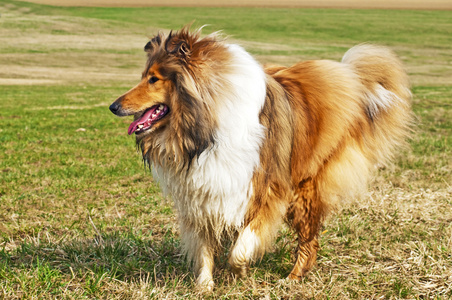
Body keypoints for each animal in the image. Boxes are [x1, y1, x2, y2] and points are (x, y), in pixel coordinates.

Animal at [109, 26, 414, 290]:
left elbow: (241, 246)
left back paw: (293, 278)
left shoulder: (265, 191)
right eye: (144, 75)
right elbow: (205, 247)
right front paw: (204, 286)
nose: (113, 106)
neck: (205, 127)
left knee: (309, 239)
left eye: (154, 79)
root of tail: (349, 77)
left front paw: (238, 273)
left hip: (305, 189)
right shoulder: (203, 192)